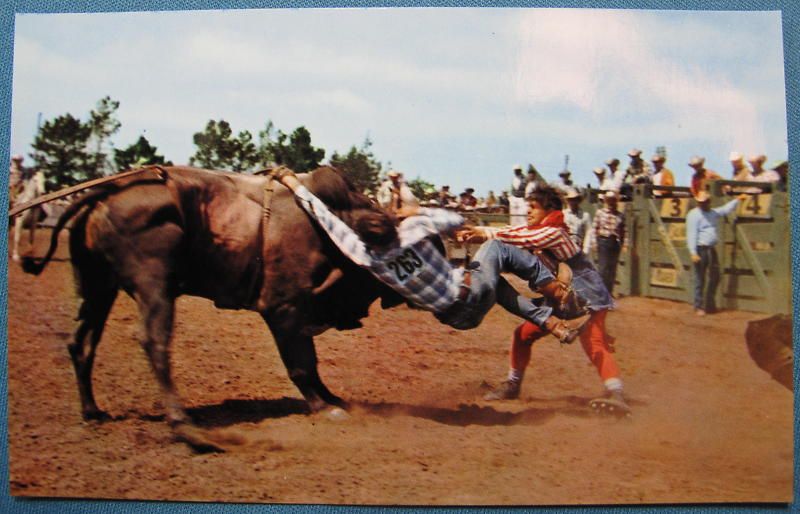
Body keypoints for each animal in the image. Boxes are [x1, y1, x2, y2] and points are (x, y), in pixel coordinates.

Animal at [24, 165, 404, 448]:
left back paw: (92, 410)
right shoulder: (283, 309)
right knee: (153, 342)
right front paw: (323, 406)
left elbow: (311, 365)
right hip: (154, 285)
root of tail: (103, 195)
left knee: (81, 343)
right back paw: (185, 426)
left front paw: (334, 400)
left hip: (98, 288)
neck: (324, 220)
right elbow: (302, 365)